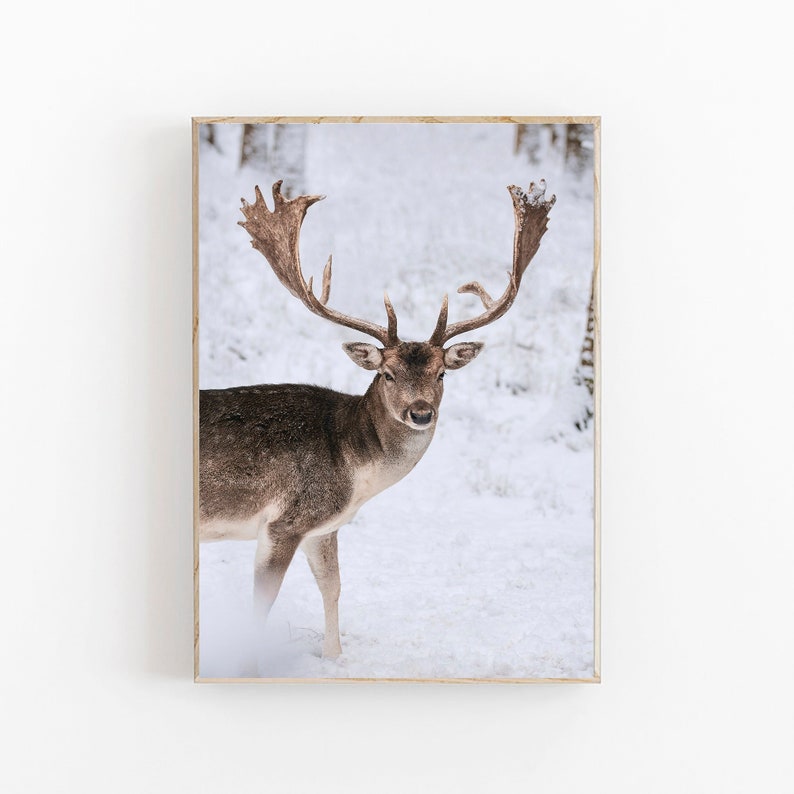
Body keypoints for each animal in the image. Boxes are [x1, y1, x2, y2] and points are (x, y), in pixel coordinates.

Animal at [199, 178, 555, 660]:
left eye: (442, 373)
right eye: (387, 374)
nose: (421, 412)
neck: (352, 470)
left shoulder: (322, 527)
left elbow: (333, 588)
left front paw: (333, 657)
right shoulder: (284, 520)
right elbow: (261, 606)